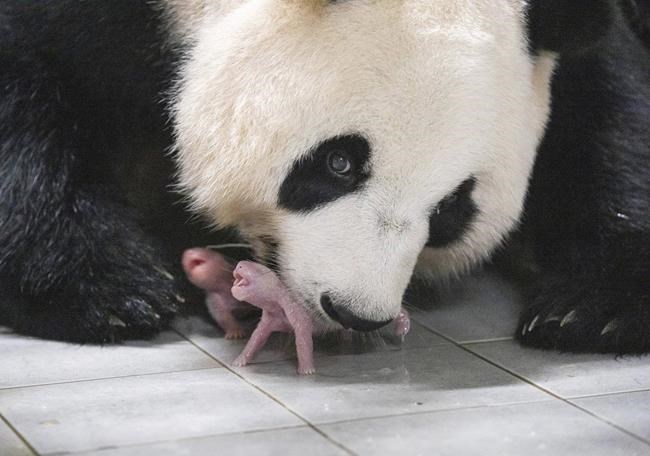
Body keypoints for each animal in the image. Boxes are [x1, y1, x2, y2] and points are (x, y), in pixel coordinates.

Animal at [0, 0, 648, 353]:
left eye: (451, 210)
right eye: (339, 163)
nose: (356, 311)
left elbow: (608, 111)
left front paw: (592, 310)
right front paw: (109, 290)